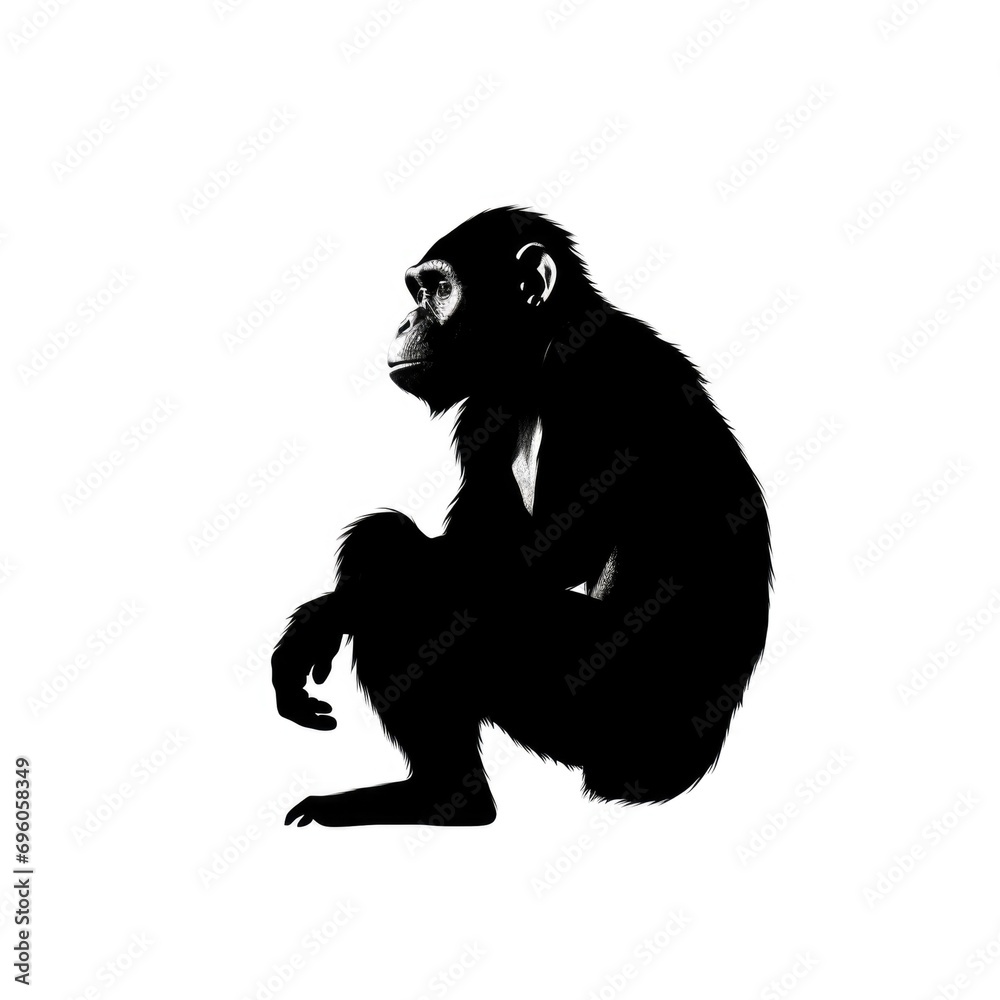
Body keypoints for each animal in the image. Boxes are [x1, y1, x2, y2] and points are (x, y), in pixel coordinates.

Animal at [271, 207, 771, 827]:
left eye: (438, 289)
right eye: (417, 290)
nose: (405, 320)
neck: (532, 362)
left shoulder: (600, 376)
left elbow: (556, 548)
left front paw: (328, 612)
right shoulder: (484, 409)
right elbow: (478, 535)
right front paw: (324, 610)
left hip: (602, 702)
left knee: (421, 586)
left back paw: (448, 795)